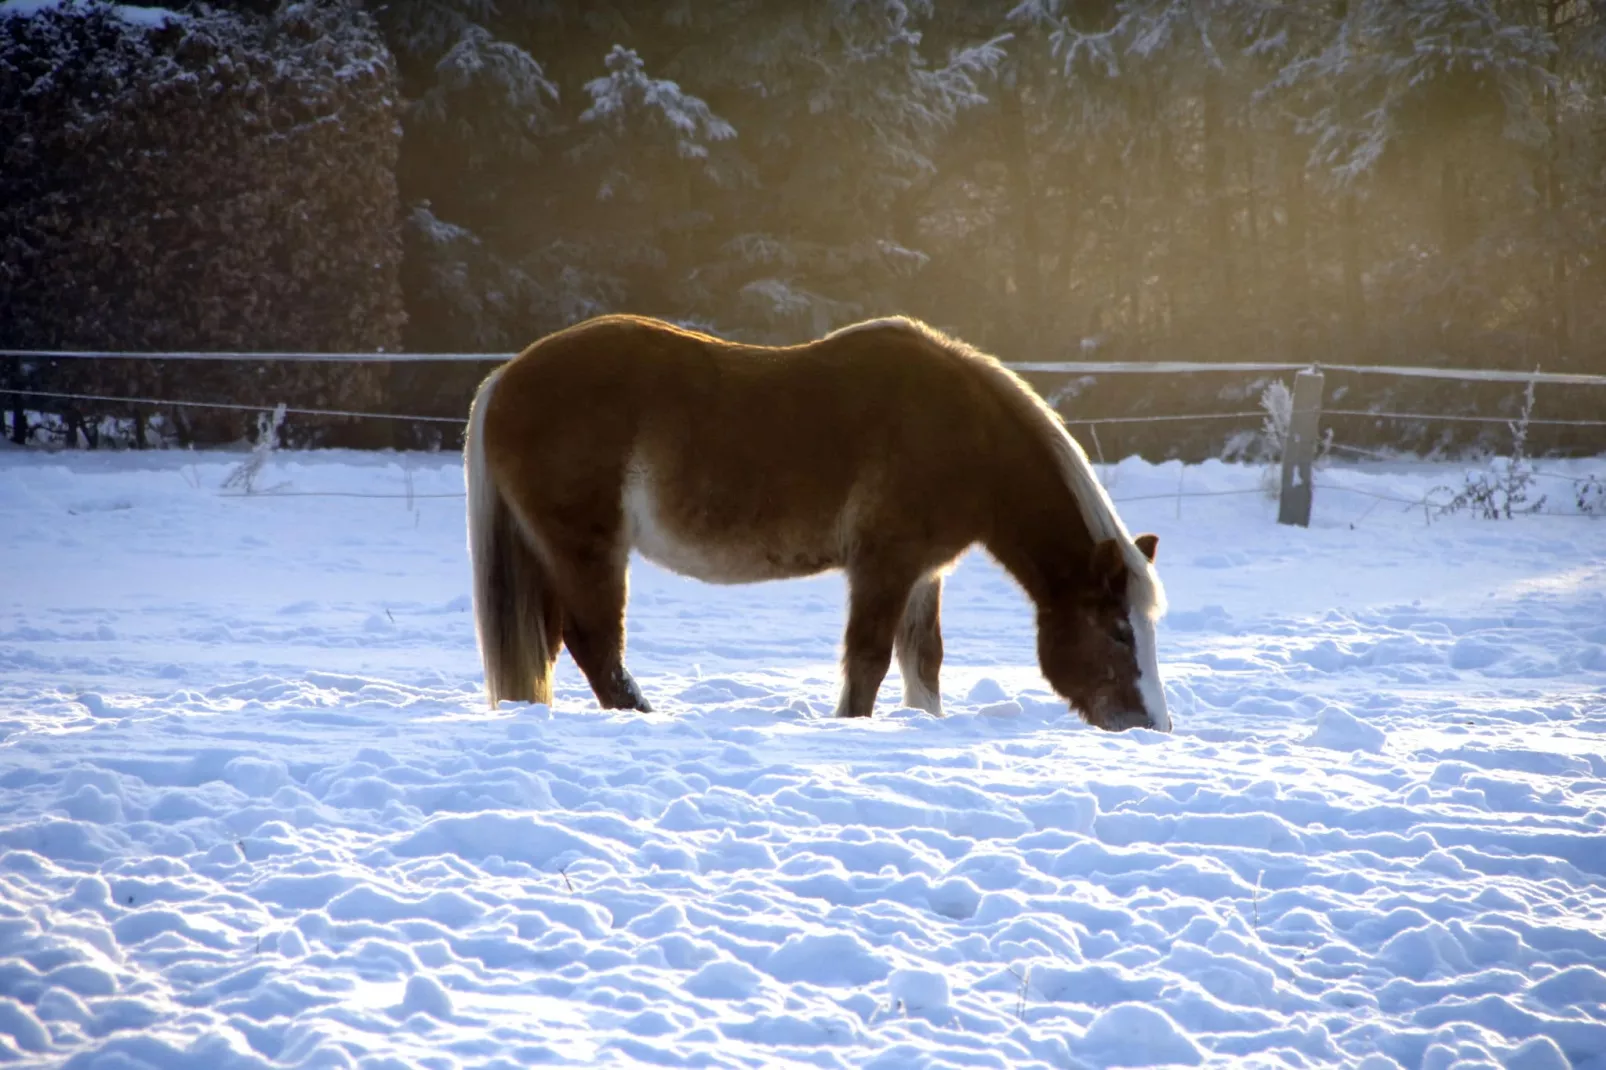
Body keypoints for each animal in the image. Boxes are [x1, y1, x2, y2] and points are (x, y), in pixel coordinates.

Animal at [465, 313, 1169, 729]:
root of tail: (504, 378)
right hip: (587, 551)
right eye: (1118, 631)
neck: (963, 436)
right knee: (595, 647)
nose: (1151, 725)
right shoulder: (883, 566)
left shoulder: (922, 573)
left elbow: (925, 661)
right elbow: (869, 660)